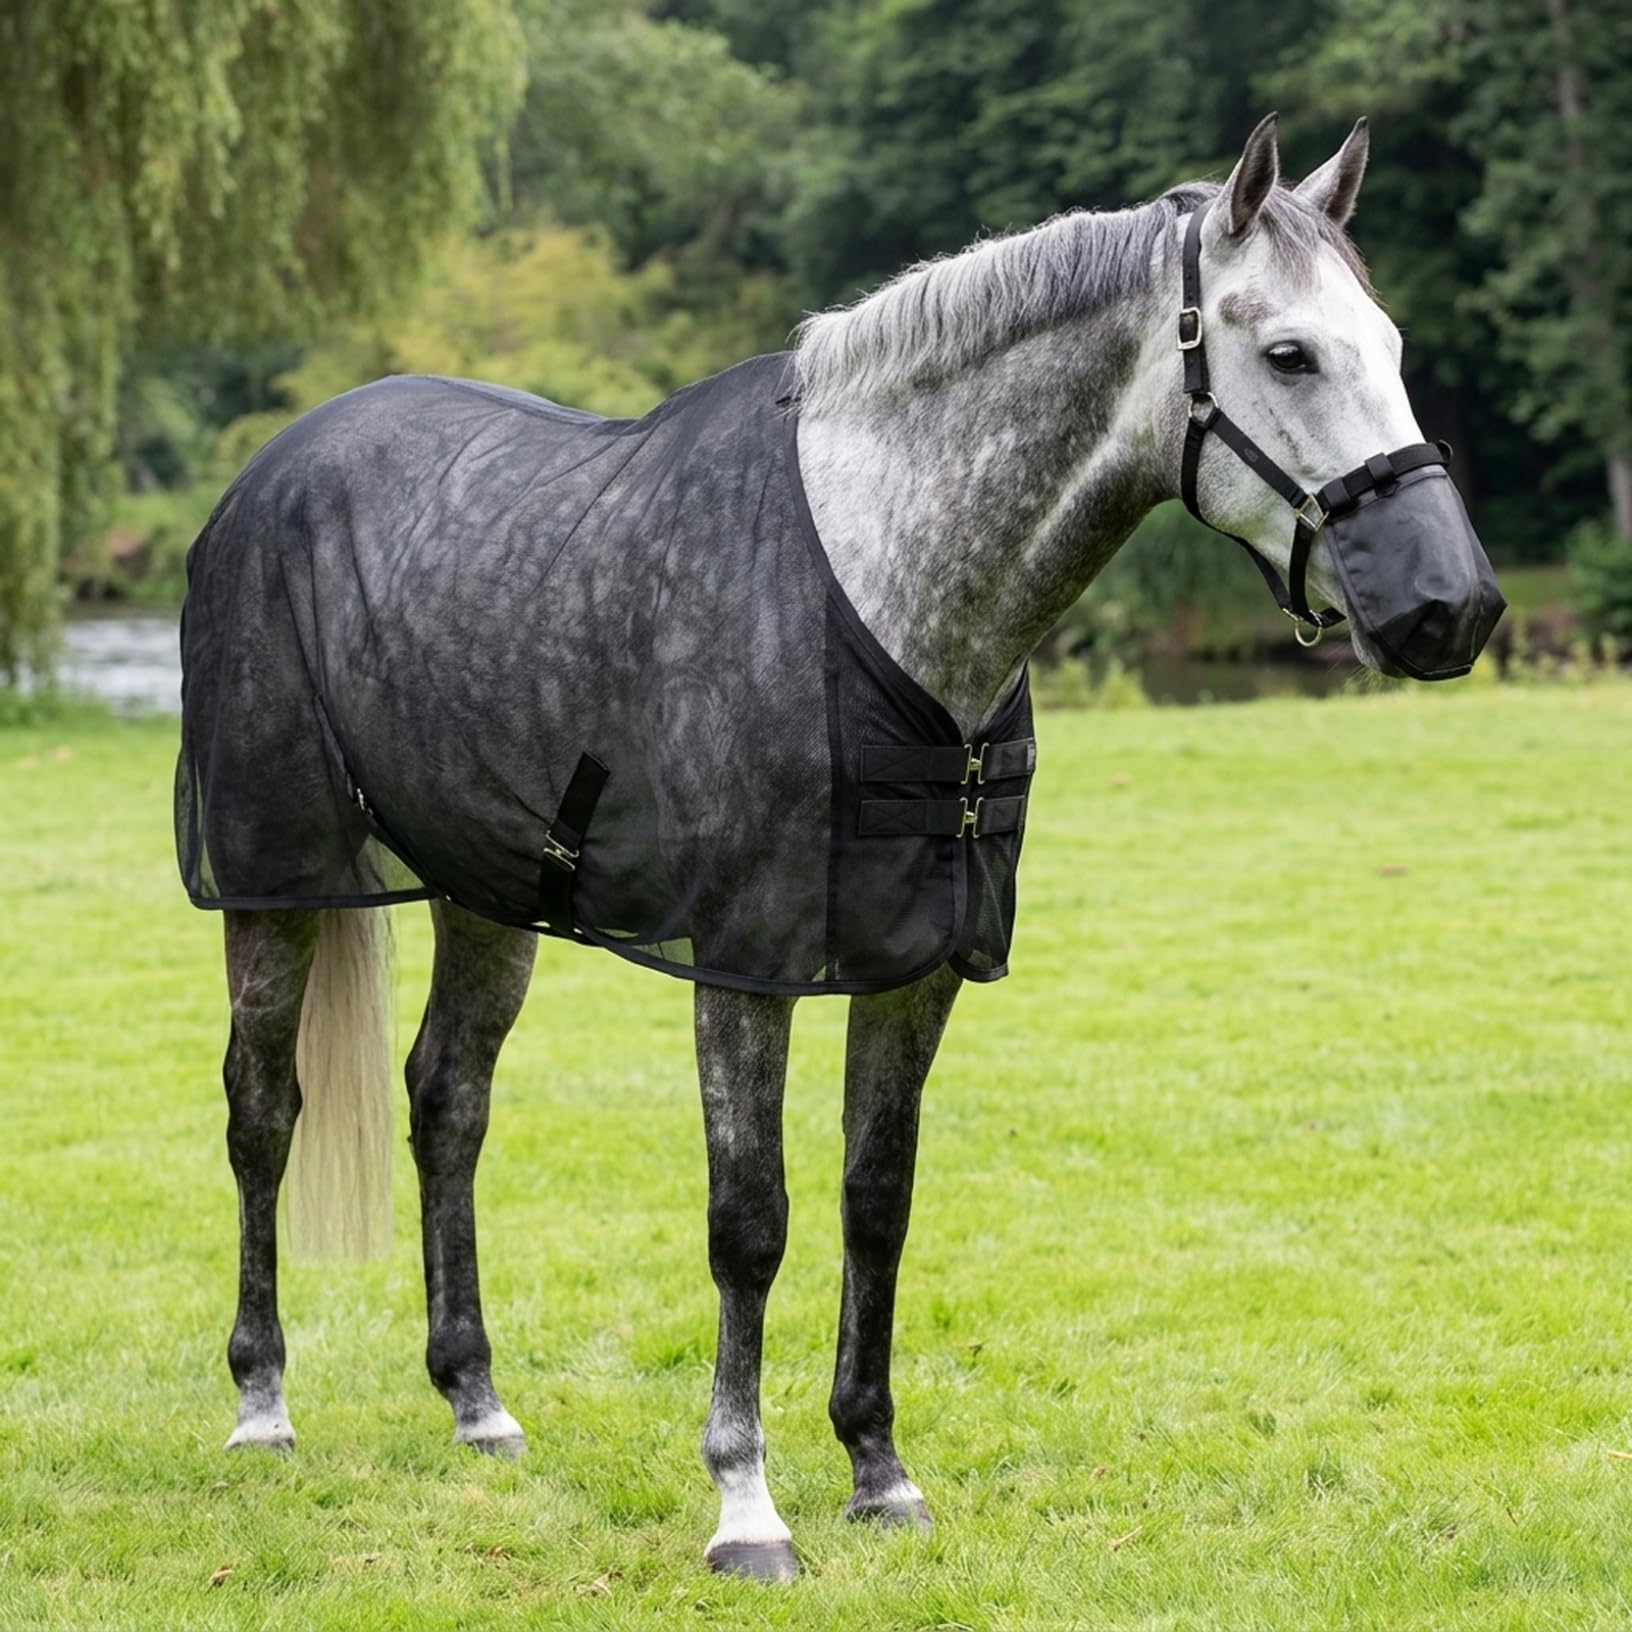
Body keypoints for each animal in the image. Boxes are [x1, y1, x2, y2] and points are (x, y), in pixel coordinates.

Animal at [176, 114, 1503, 1581]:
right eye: (1290, 355)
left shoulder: (917, 964)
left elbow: (879, 1199)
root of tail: (271, 471)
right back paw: (260, 1405)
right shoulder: (748, 965)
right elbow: (750, 1223)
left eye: (1389, 343)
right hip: (272, 881)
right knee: (261, 1109)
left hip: (487, 893)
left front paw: (878, 1470)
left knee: (446, 1101)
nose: (1452, 606)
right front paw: (745, 1504)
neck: (880, 589)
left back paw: (476, 1400)